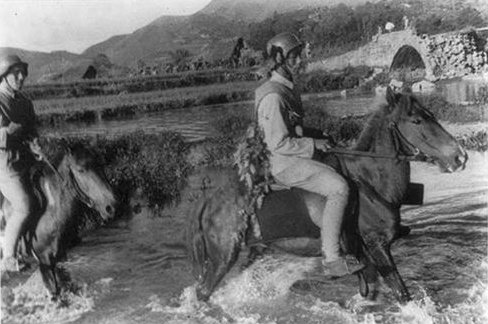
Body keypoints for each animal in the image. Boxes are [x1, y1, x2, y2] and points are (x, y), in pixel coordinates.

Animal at [1, 143, 117, 298]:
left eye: (101, 165)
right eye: (80, 170)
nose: (111, 207)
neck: (49, 207)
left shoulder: (56, 260)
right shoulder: (44, 261)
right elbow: (54, 294)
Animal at [188, 87, 468, 302]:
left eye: (430, 115)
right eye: (417, 121)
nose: (459, 157)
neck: (370, 182)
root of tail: (209, 201)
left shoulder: (366, 258)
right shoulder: (377, 246)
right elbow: (402, 293)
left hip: (254, 250)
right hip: (223, 256)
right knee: (203, 292)